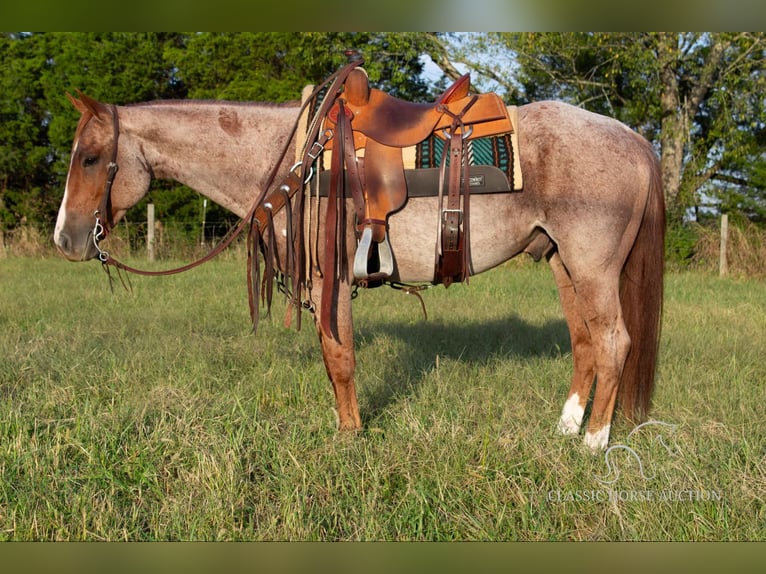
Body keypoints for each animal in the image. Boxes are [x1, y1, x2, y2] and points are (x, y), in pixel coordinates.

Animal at [54, 80, 664, 454]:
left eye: (91, 158)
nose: (65, 239)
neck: (291, 161)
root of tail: (634, 139)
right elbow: (335, 359)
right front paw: (348, 429)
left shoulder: (333, 277)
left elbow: (339, 358)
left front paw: (349, 438)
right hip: (563, 263)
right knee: (585, 344)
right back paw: (564, 429)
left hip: (592, 267)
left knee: (613, 343)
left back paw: (594, 444)